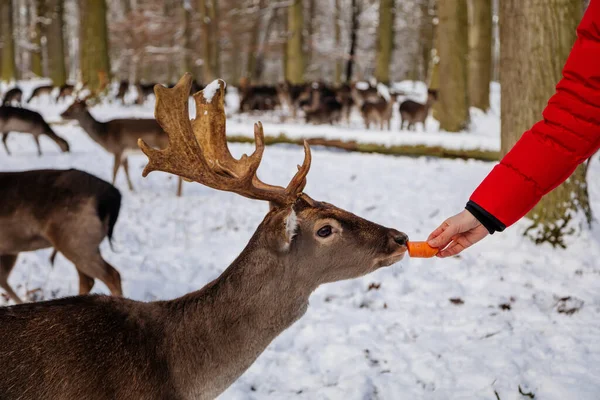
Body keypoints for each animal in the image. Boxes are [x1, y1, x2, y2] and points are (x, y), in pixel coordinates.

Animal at [0, 168, 122, 304]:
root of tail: (113, 198)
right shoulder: (8, 250)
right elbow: (3, 279)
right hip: (79, 244)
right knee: (88, 280)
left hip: (76, 241)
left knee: (112, 275)